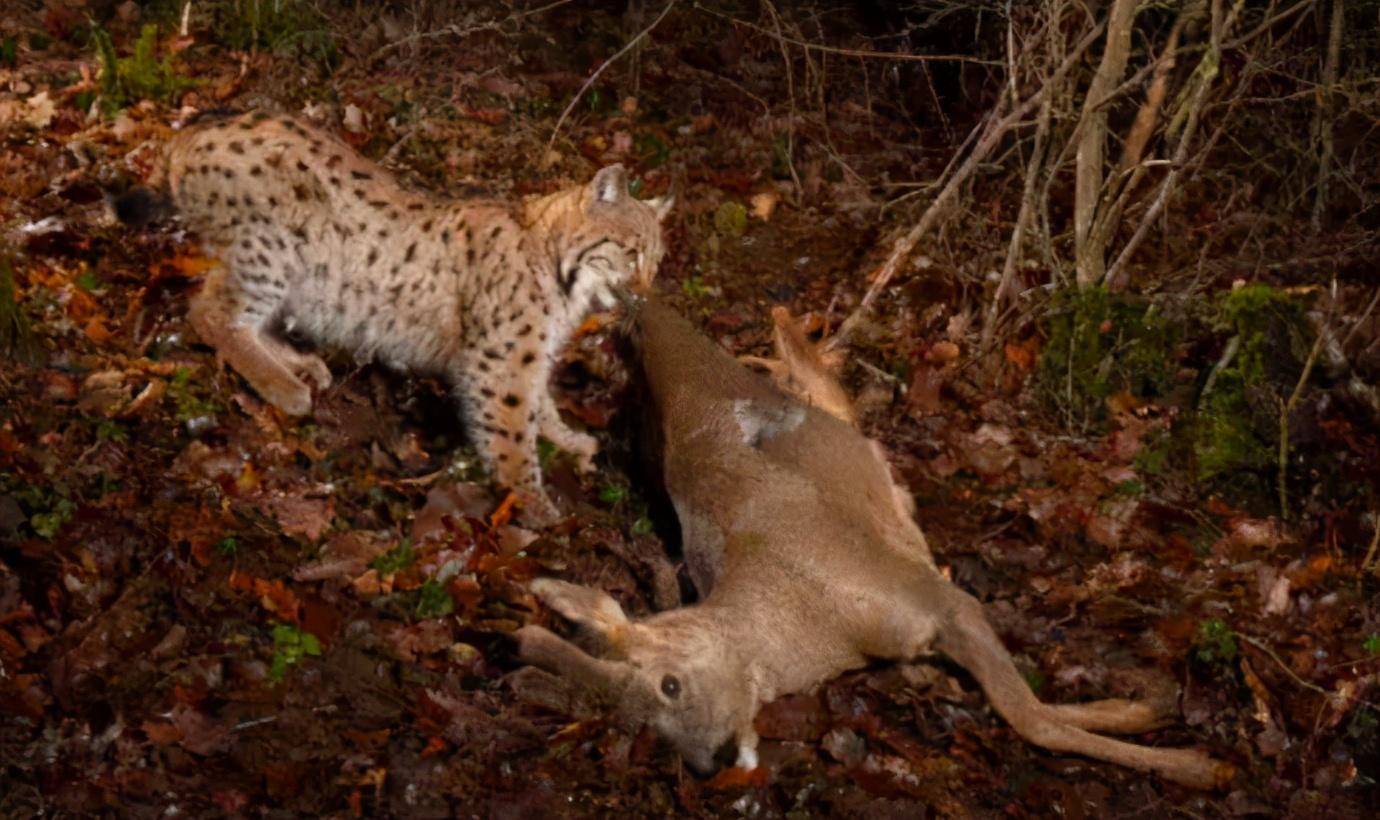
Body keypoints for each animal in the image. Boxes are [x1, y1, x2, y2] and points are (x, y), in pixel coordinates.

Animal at [516, 295, 1230, 784]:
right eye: (642, 727)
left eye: (669, 686)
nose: (709, 762)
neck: (818, 629)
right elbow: (1010, 702)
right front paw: (1152, 716)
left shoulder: (939, 601)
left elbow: (1031, 716)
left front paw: (1194, 762)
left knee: (823, 388)